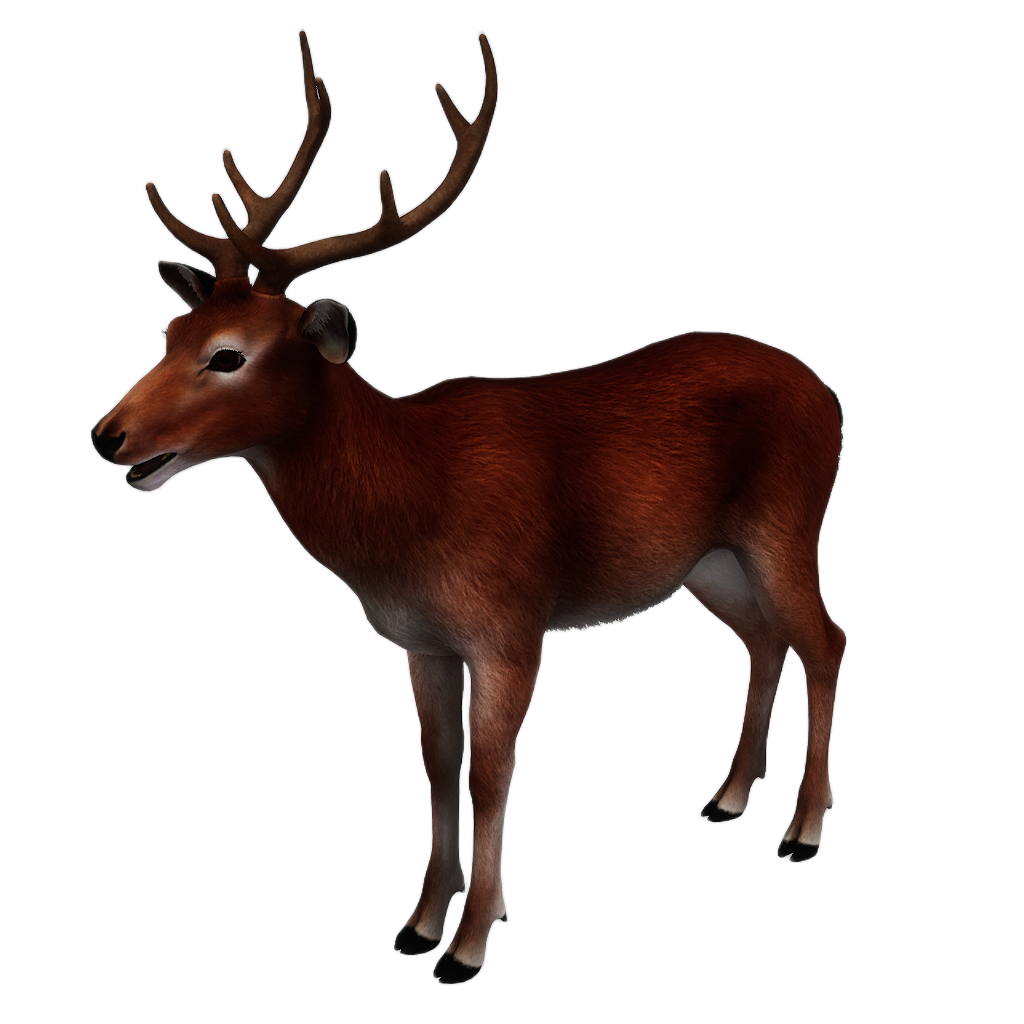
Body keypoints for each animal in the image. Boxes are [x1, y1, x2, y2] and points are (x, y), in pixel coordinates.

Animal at [90, 26, 847, 984]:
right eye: (166, 333)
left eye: (228, 354)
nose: (108, 435)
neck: (408, 505)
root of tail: (830, 392)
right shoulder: (419, 637)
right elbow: (435, 763)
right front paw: (419, 922)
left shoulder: (510, 626)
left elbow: (490, 773)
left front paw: (471, 940)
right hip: (705, 560)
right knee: (764, 638)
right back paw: (728, 796)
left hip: (789, 521)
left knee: (824, 638)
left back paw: (803, 830)